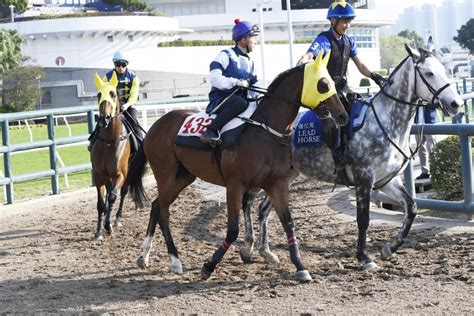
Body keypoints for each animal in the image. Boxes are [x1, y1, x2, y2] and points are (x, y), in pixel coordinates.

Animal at [128, 51, 350, 282]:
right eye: (323, 84)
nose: (343, 115)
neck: (264, 131)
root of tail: (156, 125)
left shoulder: (277, 183)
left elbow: (288, 222)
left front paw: (300, 266)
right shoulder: (235, 185)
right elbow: (233, 229)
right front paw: (209, 265)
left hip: (184, 175)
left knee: (156, 206)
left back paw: (144, 256)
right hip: (165, 173)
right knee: (163, 212)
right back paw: (174, 260)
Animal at [239, 45, 462, 270]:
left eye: (444, 70)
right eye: (429, 73)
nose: (456, 104)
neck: (384, 122)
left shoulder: (387, 181)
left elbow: (412, 207)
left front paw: (389, 248)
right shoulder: (364, 178)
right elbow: (363, 219)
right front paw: (364, 257)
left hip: (285, 177)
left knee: (264, 208)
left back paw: (266, 251)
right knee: (248, 200)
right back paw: (248, 246)